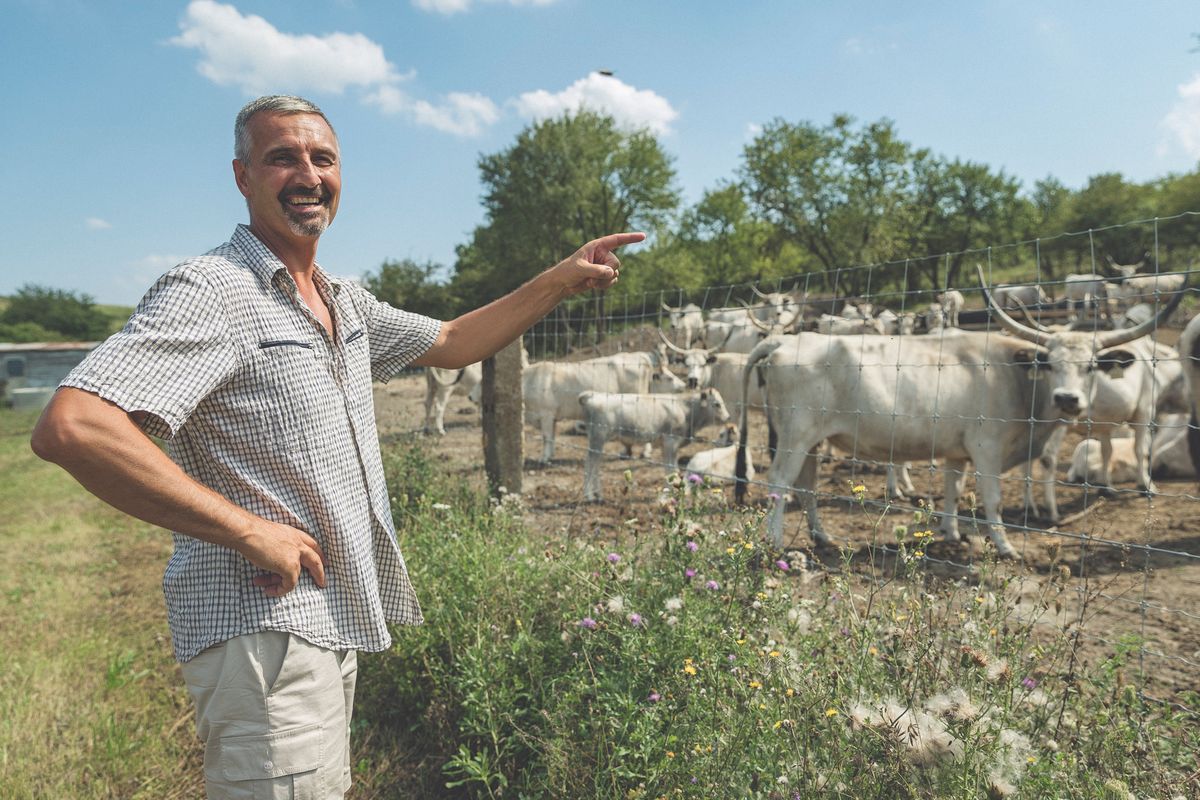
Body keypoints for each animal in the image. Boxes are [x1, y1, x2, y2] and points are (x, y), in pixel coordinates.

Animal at [580, 388, 729, 501]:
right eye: (717, 404)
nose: (728, 417)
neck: (685, 409)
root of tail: (592, 395)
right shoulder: (670, 441)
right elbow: (670, 467)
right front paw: (671, 490)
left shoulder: (669, 444)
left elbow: (673, 467)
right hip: (597, 438)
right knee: (590, 463)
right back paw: (589, 496)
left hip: (598, 441)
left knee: (596, 464)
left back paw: (598, 494)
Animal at [734, 268, 1185, 556]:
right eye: (1050, 363)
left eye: (1091, 366)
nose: (1067, 399)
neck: (1016, 378)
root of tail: (784, 340)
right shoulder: (986, 449)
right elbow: (992, 499)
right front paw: (1005, 546)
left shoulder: (956, 450)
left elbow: (952, 488)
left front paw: (950, 532)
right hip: (794, 437)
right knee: (779, 482)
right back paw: (775, 543)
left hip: (812, 440)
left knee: (806, 486)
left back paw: (822, 538)